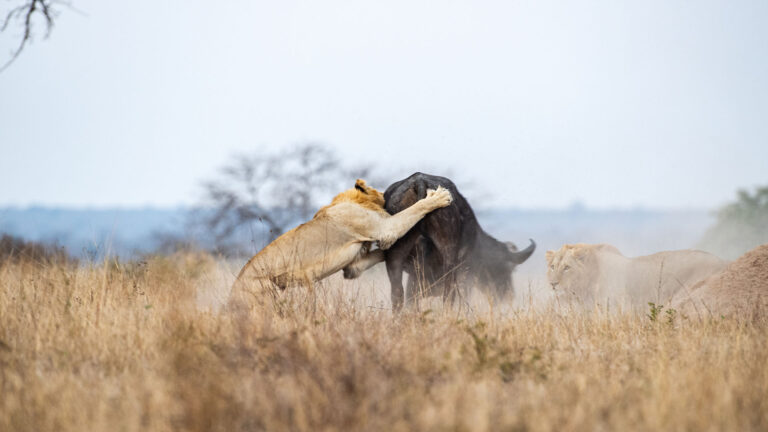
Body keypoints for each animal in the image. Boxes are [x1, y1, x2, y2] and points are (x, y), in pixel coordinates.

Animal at [228, 179, 453, 310]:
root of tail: (233, 291)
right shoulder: (384, 228)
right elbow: (414, 210)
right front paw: (438, 197)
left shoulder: (354, 266)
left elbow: (379, 254)